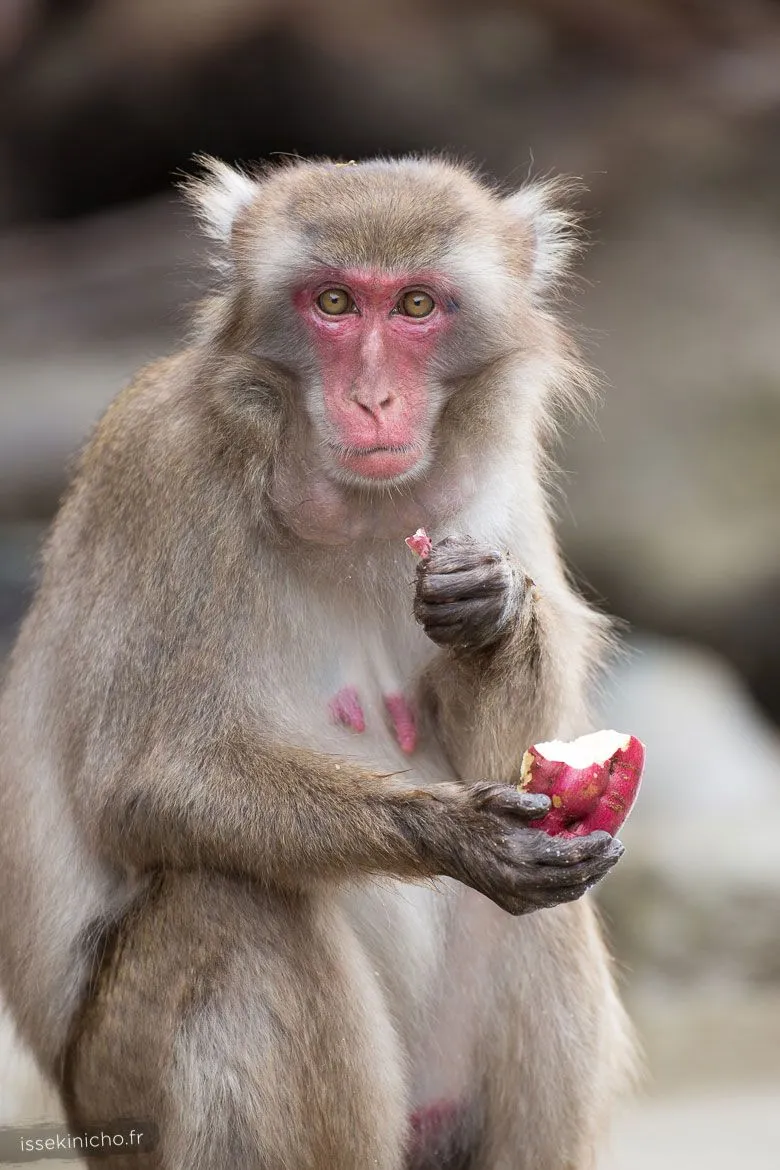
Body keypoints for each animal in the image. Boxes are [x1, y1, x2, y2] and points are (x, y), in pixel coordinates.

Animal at [0, 156, 635, 1170]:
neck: (351, 510)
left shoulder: (497, 479)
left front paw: (493, 611)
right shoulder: (168, 468)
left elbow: (518, 755)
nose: (372, 399)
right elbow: (144, 780)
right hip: (117, 1090)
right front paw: (457, 834)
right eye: (333, 302)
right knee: (231, 908)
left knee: (546, 919)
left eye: (415, 304)